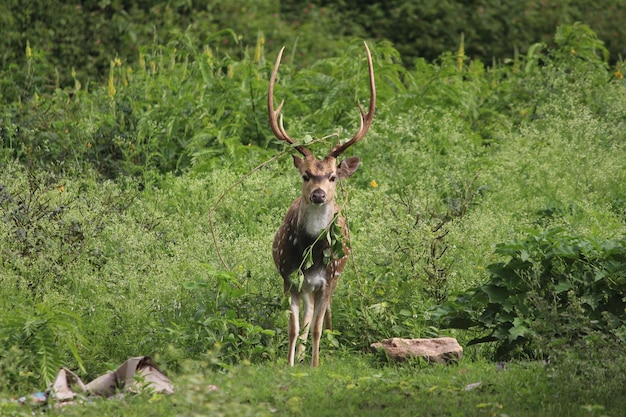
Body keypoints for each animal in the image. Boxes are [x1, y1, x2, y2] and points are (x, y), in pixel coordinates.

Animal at [268, 42, 376, 366]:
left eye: (331, 176)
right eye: (306, 174)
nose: (318, 194)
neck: (311, 255)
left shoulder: (327, 280)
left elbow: (316, 326)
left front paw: (315, 365)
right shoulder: (288, 276)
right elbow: (293, 327)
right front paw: (291, 363)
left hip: (335, 277)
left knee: (321, 315)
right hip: (305, 286)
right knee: (305, 316)